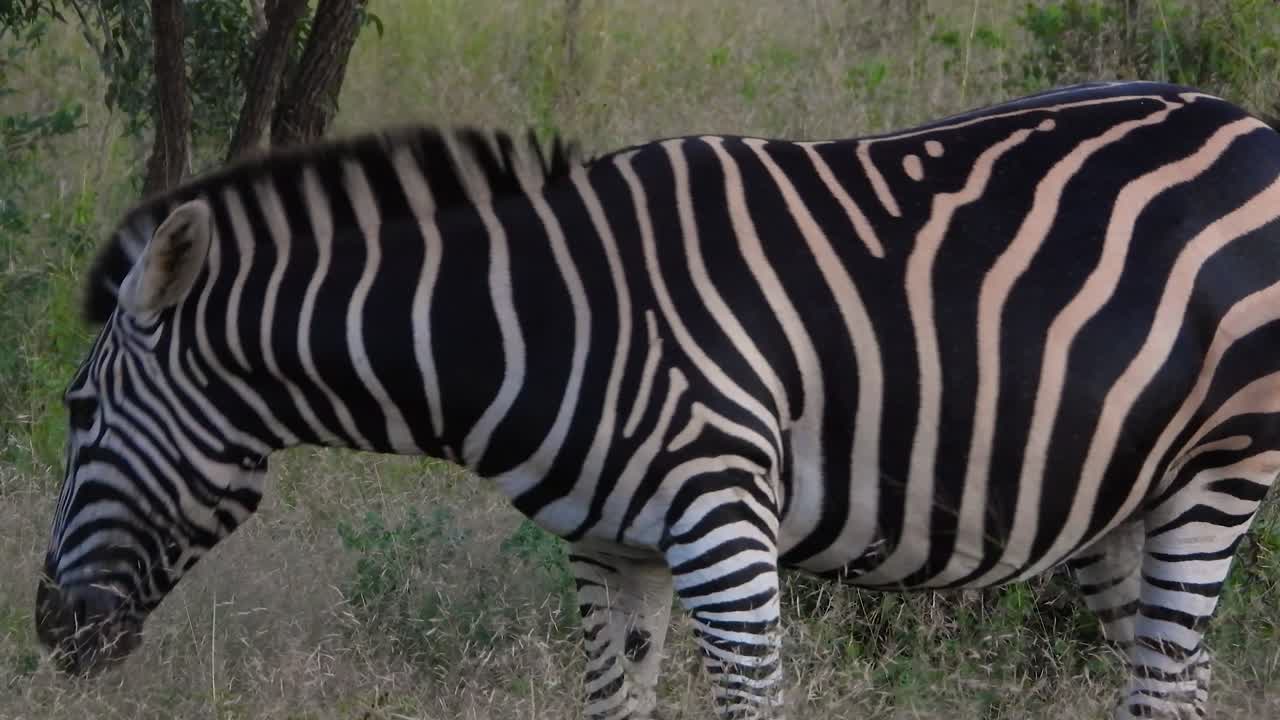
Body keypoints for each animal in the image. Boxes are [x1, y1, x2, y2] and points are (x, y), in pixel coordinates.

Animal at [35, 80, 1280, 719]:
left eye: (77, 415)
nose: (47, 633)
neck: (537, 319)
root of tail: (1245, 120)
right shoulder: (609, 550)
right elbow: (612, 703)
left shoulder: (721, 527)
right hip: (1123, 505)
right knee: (1169, 687)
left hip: (1218, 474)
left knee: (1167, 683)